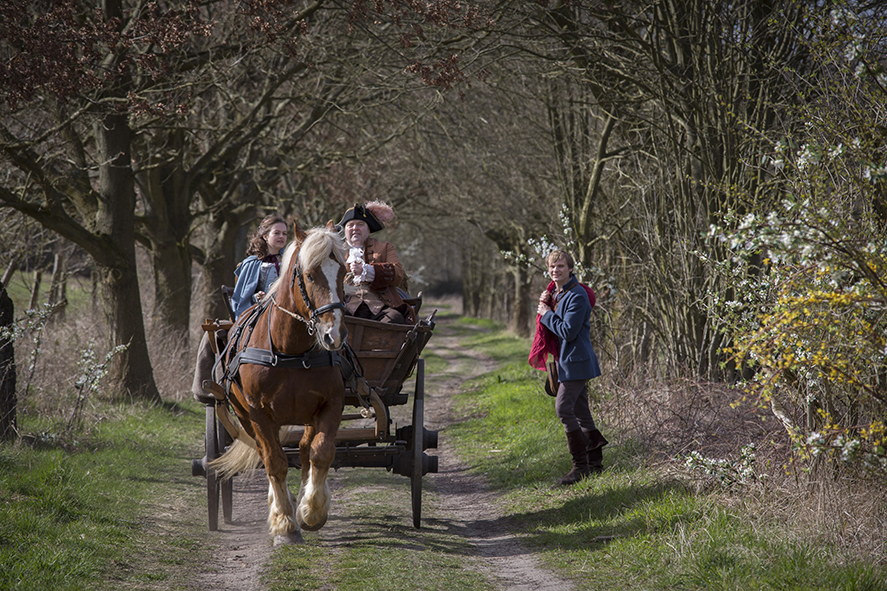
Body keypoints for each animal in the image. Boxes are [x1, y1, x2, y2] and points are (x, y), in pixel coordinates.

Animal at [212, 221, 350, 544]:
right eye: (309, 275)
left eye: (343, 273)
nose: (334, 335)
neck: (291, 349)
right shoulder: (258, 413)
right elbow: (275, 461)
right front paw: (285, 522)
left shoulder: (330, 404)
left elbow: (321, 452)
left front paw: (312, 510)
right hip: (246, 415)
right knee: (268, 454)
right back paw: (279, 505)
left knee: (304, 450)